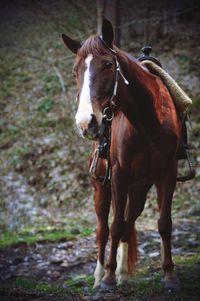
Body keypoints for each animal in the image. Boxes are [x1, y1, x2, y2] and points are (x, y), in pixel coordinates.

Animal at [62, 19, 181, 290]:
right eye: (74, 72)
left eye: (108, 64)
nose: (86, 123)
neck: (148, 123)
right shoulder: (118, 176)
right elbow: (114, 226)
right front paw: (107, 278)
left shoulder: (167, 176)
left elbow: (164, 223)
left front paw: (169, 275)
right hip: (101, 187)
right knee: (103, 229)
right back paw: (100, 274)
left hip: (138, 189)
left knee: (129, 222)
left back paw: (123, 274)